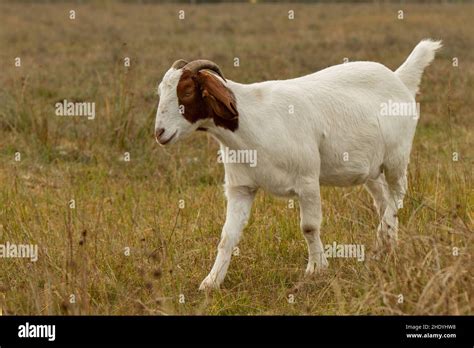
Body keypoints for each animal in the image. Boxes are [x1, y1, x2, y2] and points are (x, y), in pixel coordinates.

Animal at [155, 39, 440, 290]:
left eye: (187, 91)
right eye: (160, 92)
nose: (160, 132)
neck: (252, 120)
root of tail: (400, 78)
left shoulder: (307, 180)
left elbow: (309, 227)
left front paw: (316, 268)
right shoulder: (241, 187)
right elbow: (228, 236)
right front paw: (211, 282)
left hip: (397, 157)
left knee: (397, 195)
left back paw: (382, 241)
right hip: (371, 169)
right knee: (383, 200)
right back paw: (388, 246)